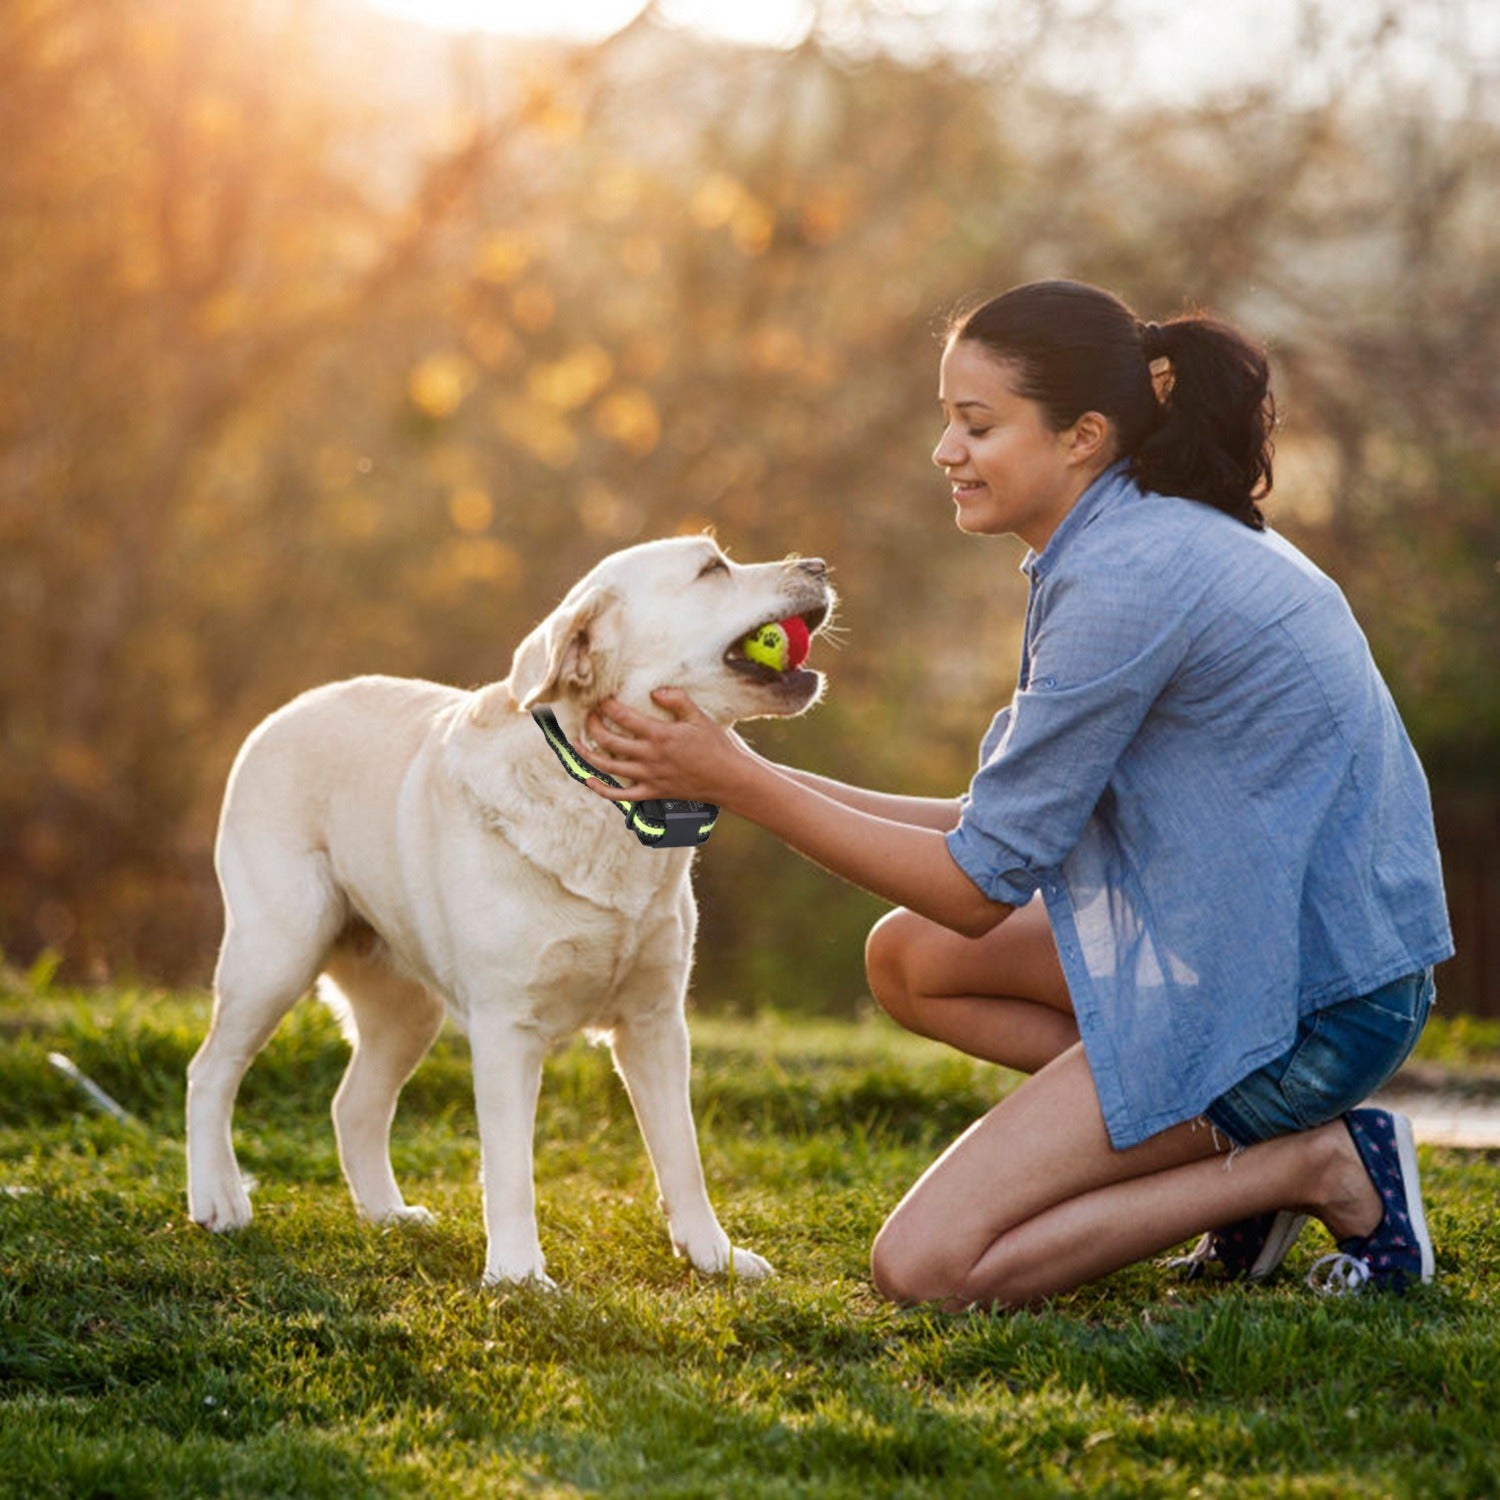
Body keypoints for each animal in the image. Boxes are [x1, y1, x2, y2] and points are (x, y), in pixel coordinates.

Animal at [184, 534, 834, 1284]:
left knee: (353, 1106)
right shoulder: (506, 1030)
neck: (603, 801)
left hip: (406, 1009)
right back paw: (218, 1199)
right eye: (711, 569)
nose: (818, 565)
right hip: (276, 953)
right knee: (210, 1072)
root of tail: (284, 710)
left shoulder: (656, 1023)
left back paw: (388, 1215)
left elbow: (683, 1158)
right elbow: (510, 1170)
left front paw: (714, 1257)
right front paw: (520, 1279)